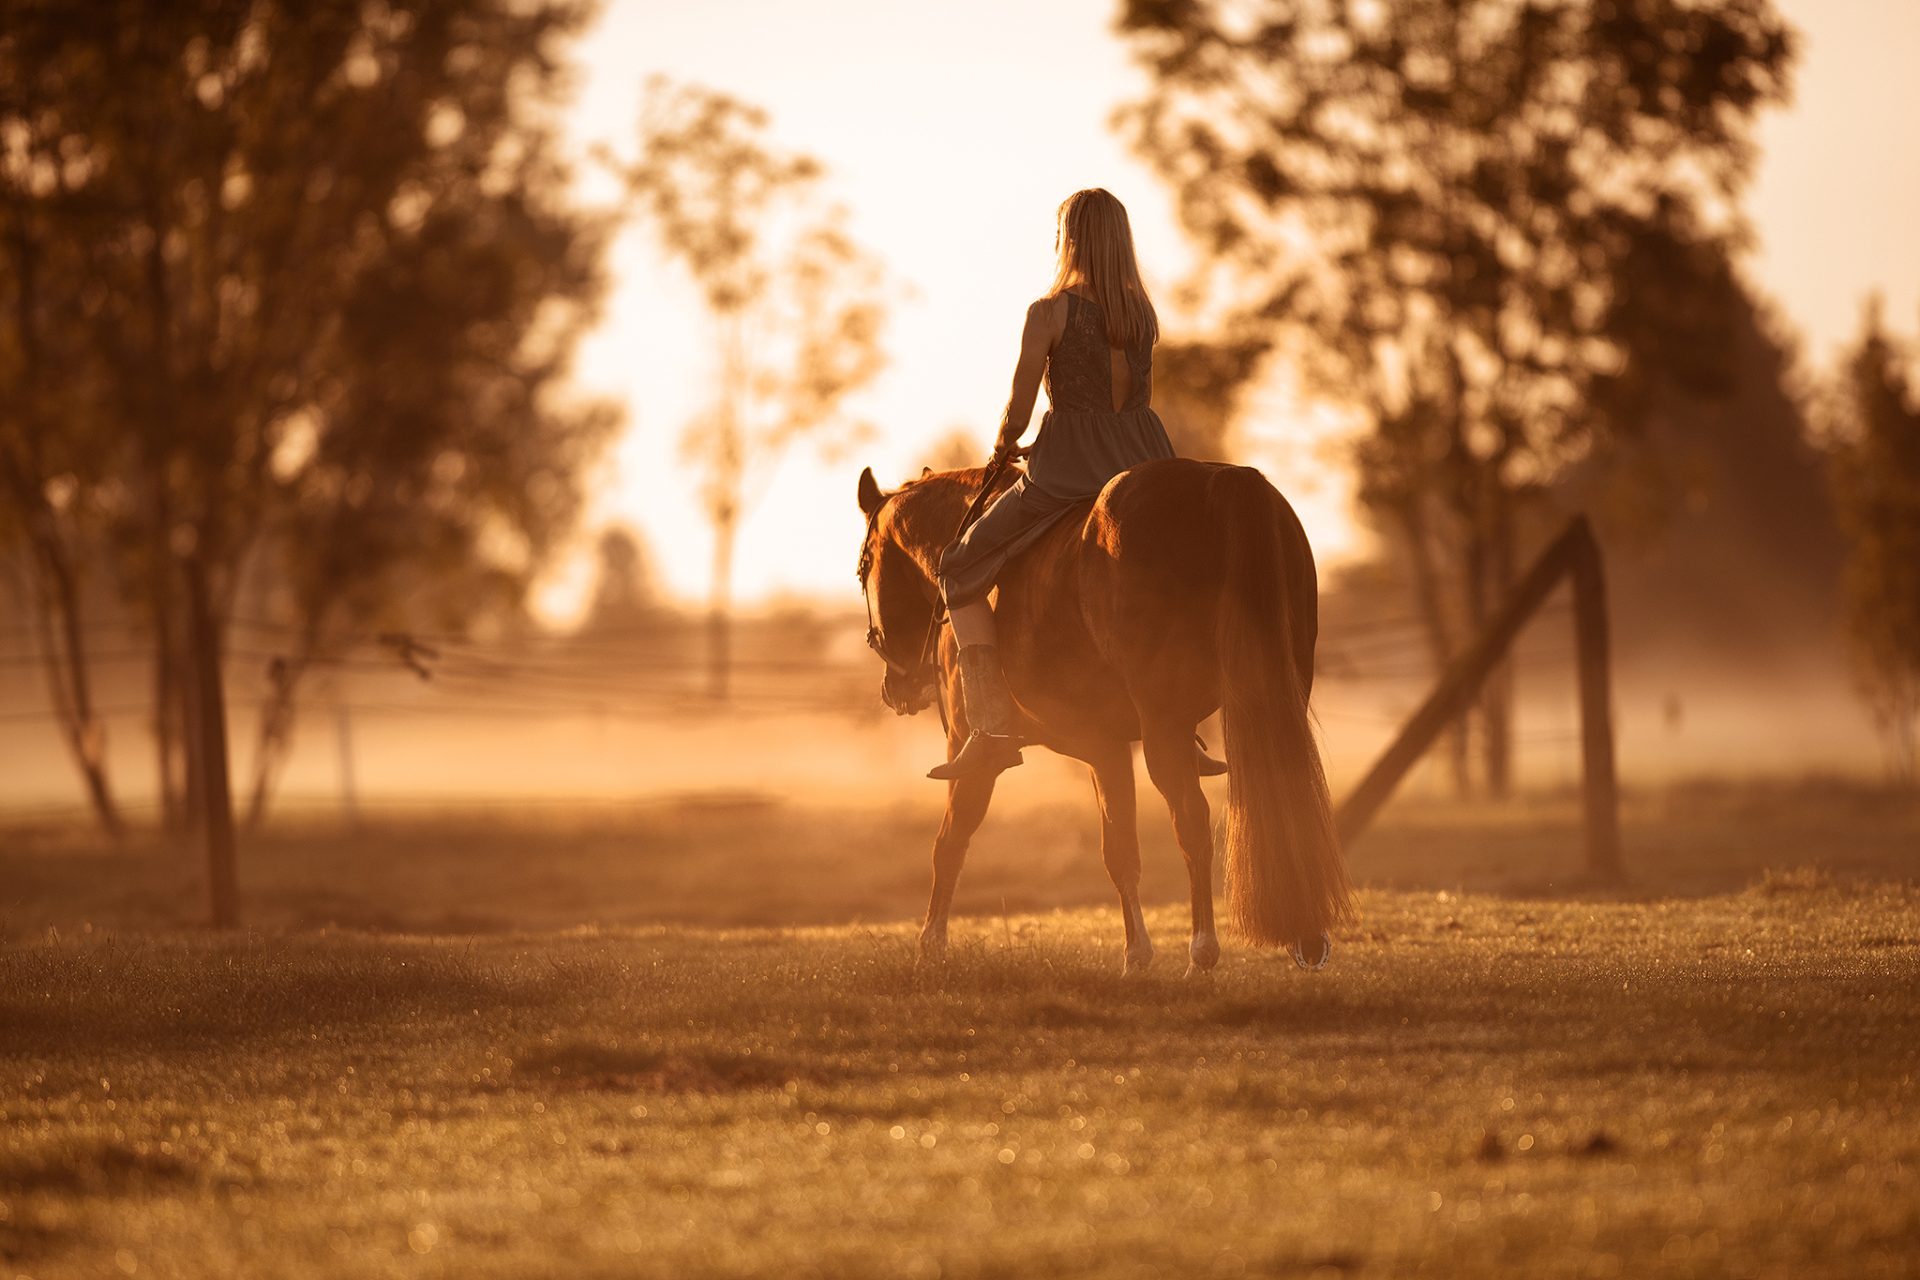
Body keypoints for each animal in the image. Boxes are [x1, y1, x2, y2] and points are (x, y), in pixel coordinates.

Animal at [856, 458, 1351, 971]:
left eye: (863, 566)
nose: (896, 689)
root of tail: (1219, 480)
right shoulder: (1108, 748)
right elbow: (1121, 851)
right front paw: (1137, 955)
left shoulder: (981, 753)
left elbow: (951, 842)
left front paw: (930, 946)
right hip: (1277, 697)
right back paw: (1305, 936)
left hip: (1164, 723)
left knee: (1191, 820)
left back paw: (1202, 952)